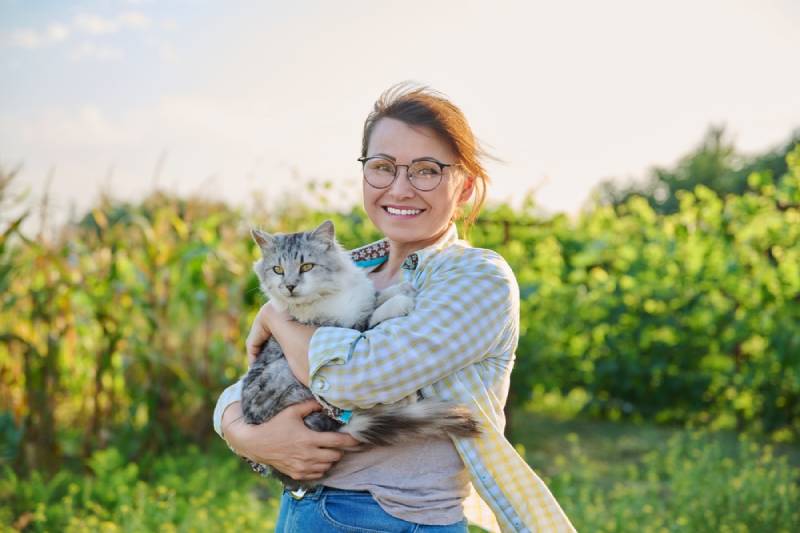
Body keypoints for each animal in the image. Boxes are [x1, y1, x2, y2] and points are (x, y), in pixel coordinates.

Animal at [241, 218, 482, 488]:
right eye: (278, 270)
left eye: (306, 266)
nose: (290, 286)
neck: (331, 295)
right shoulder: (343, 328)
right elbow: (372, 320)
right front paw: (402, 301)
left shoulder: (362, 301)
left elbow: (377, 297)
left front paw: (404, 288)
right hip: (286, 374)